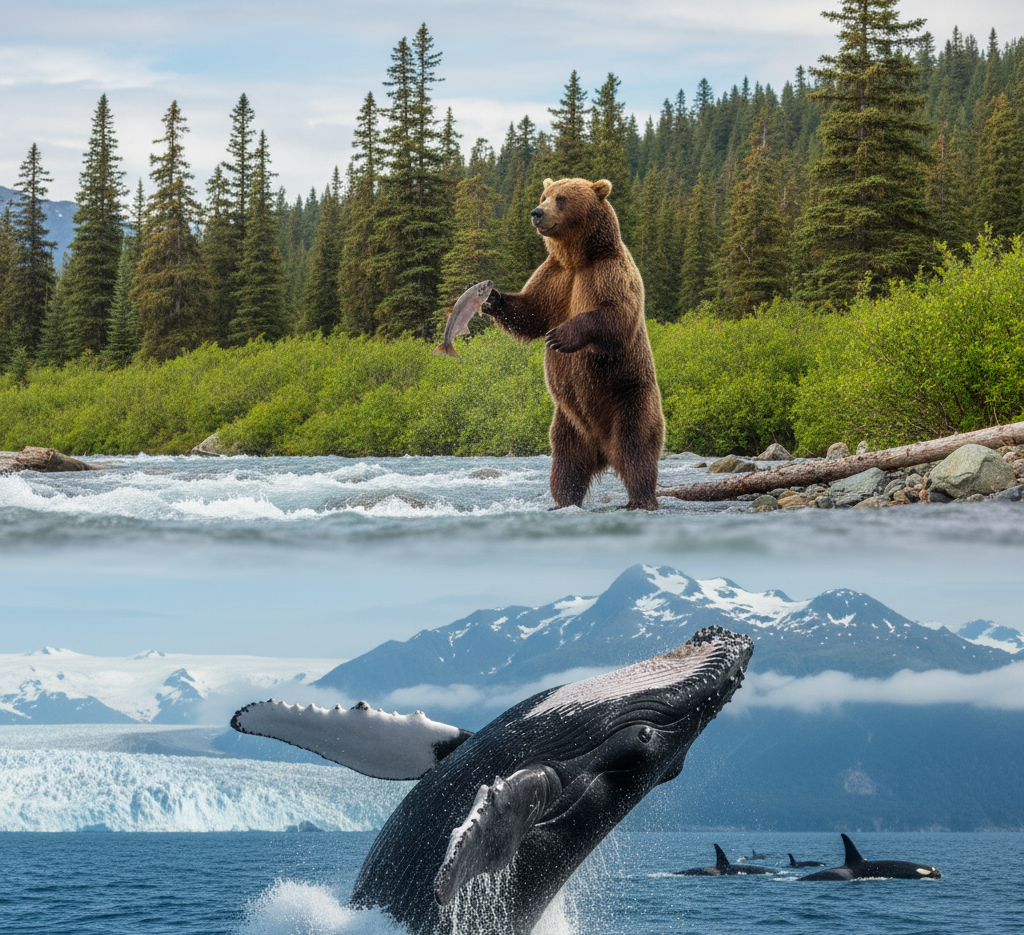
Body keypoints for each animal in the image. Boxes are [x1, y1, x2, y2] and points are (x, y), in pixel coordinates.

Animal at [483, 177, 665, 510]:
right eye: (544, 195)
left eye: (562, 198)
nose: (537, 212)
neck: (577, 258)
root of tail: (603, 451)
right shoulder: (555, 277)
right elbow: (530, 311)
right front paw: (491, 297)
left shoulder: (609, 273)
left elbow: (615, 316)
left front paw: (559, 336)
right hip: (568, 422)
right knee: (566, 464)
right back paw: (563, 501)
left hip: (630, 396)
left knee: (637, 449)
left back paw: (641, 499)